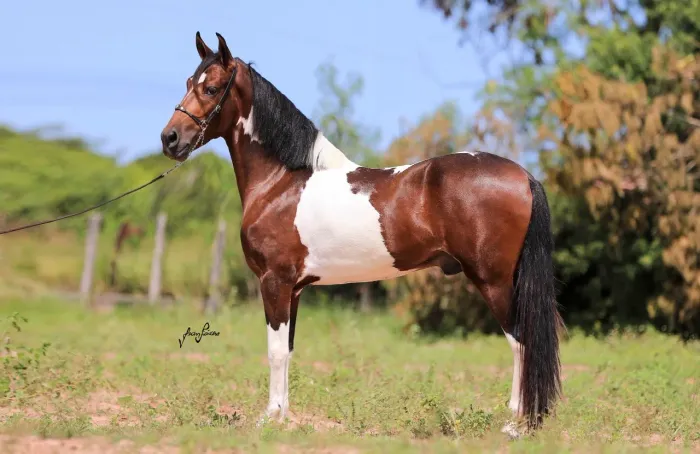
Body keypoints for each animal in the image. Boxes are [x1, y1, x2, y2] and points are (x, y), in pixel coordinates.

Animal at [159, 32, 565, 438]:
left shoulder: (274, 282)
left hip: (493, 281)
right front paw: (284, 416)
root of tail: (522, 175)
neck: (281, 183)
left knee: (521, 342)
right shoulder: (294, 288)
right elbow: (287, 349)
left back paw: (516, 424)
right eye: (188, 82)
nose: (169, 139)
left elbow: (274, 351)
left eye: (211, 88)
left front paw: (270, 418)